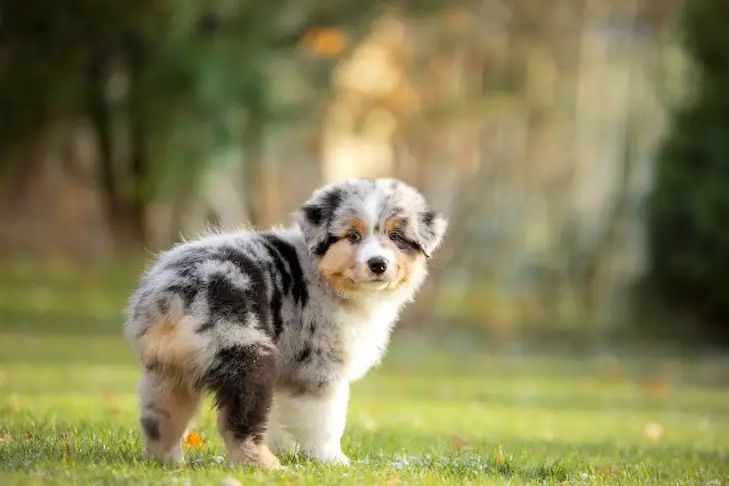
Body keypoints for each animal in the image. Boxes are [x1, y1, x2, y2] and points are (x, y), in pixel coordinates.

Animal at [122, 178, 446, 468]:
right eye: (353, 236)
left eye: (396, 237)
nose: (378, 264)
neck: (327, 277)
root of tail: (171, 290)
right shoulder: (319, 367)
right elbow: (327, 420)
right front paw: (332, 460)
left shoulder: (288, 372)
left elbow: (281, 418)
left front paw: (290, 449)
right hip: (246, 352)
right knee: (237, 423)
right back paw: (265, 465)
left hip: (167, 370)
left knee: (160, 420)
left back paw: (169, 463)